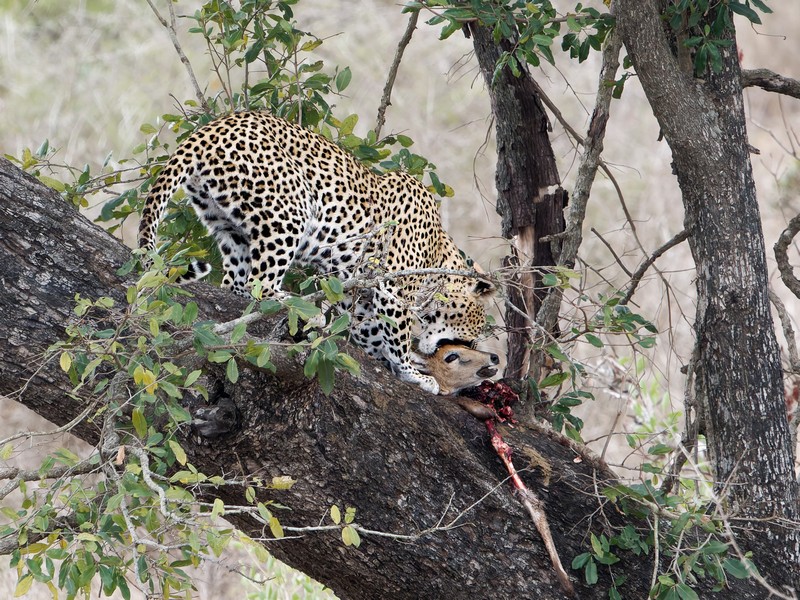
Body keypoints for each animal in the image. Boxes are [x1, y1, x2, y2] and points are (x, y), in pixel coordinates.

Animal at [138, 111, 494, 394]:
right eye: (470, 337)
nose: (483, 352)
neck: (438, 257)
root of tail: (207, 131)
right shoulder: (393, 288)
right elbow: (398, 335)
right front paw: (413, 372)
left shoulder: (357, 295)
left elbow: (368, 332)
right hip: (289, 207)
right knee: (260, 284)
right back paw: (302, 308)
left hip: (227, 225)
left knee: (237, 284)